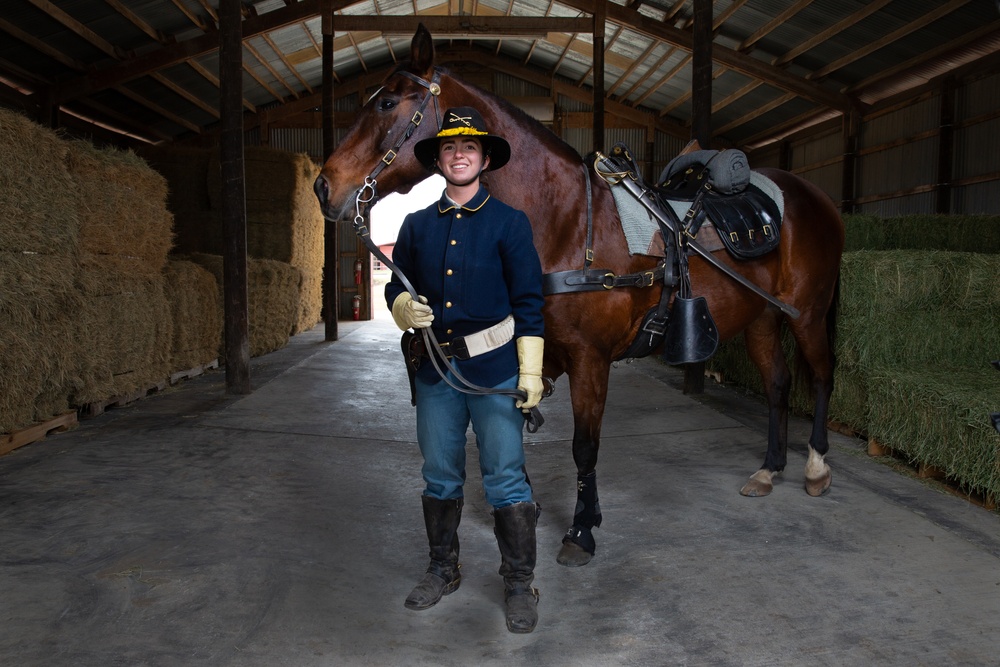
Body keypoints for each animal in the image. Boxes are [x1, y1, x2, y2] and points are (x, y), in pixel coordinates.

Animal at [312, 26, 844, 568]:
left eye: (388, 102)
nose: (323, 186)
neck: (564, 221)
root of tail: (814, 198)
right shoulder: (533, 354)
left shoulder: (591, 360)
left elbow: (584, 447)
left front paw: (582, 530)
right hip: (762, 320)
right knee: (778, 385)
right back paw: (769, 469)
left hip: (807, 315)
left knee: (822, 376)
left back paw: (815, 468)